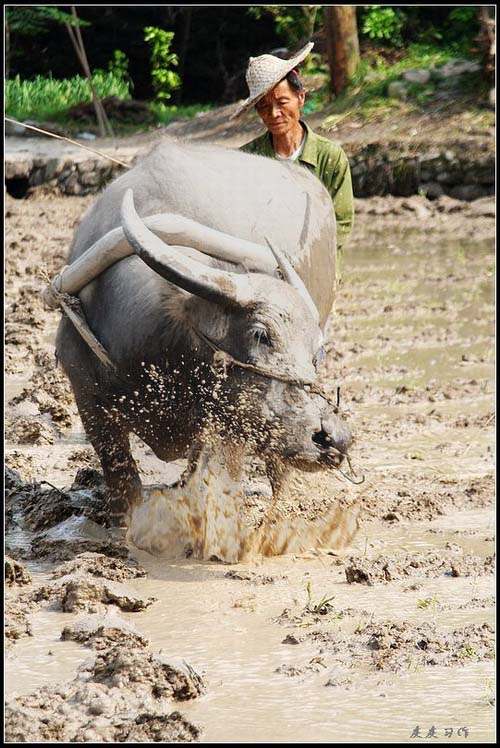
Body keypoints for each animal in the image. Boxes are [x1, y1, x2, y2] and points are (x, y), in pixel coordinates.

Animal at [49, 137, 352, 528]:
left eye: (317, 353)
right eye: (260, 334)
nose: (336, 438)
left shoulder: (224, 424)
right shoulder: (87, 397)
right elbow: (121, 477)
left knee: (277, 468)